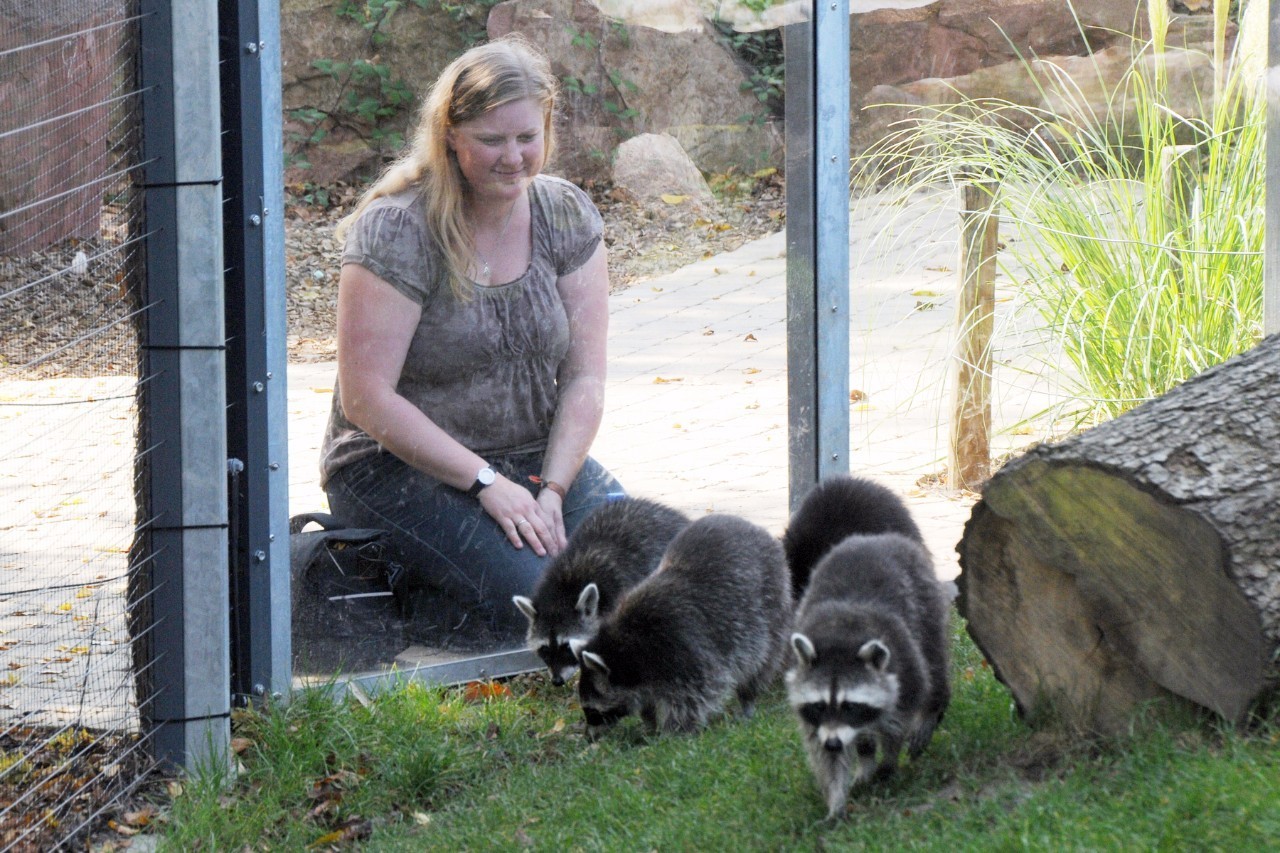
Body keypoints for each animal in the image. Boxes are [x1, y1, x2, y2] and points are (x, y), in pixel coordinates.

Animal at [578, 512, 788, 737]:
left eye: (591, 710)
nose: (589, 738)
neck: (626, 645)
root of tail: (756, 529)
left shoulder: (682, 646)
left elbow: (692, 695)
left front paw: (675, 731)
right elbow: (646, 699)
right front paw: (649, 725)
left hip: (770, 608)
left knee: (759, 661)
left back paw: (747, 699)